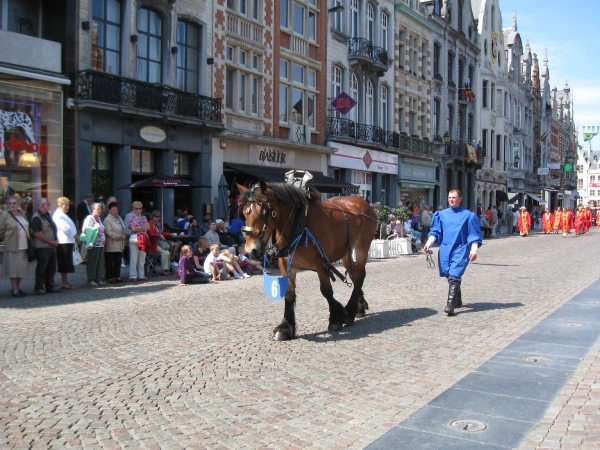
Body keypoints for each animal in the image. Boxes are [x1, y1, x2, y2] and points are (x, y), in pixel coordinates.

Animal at [238, 181, 376, 340]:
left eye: (263, 211)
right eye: (244, 212)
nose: (251, 250)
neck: (299, 225)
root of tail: (362, 201)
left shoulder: (321, 263)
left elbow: (327, 291)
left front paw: (336, 318)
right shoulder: (286, 265)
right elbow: (289, 293)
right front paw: (285, 327)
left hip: (361, 247)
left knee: (359, 275)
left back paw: (350, 310)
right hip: (345, 253)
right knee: (354, 274)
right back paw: (359, 306)